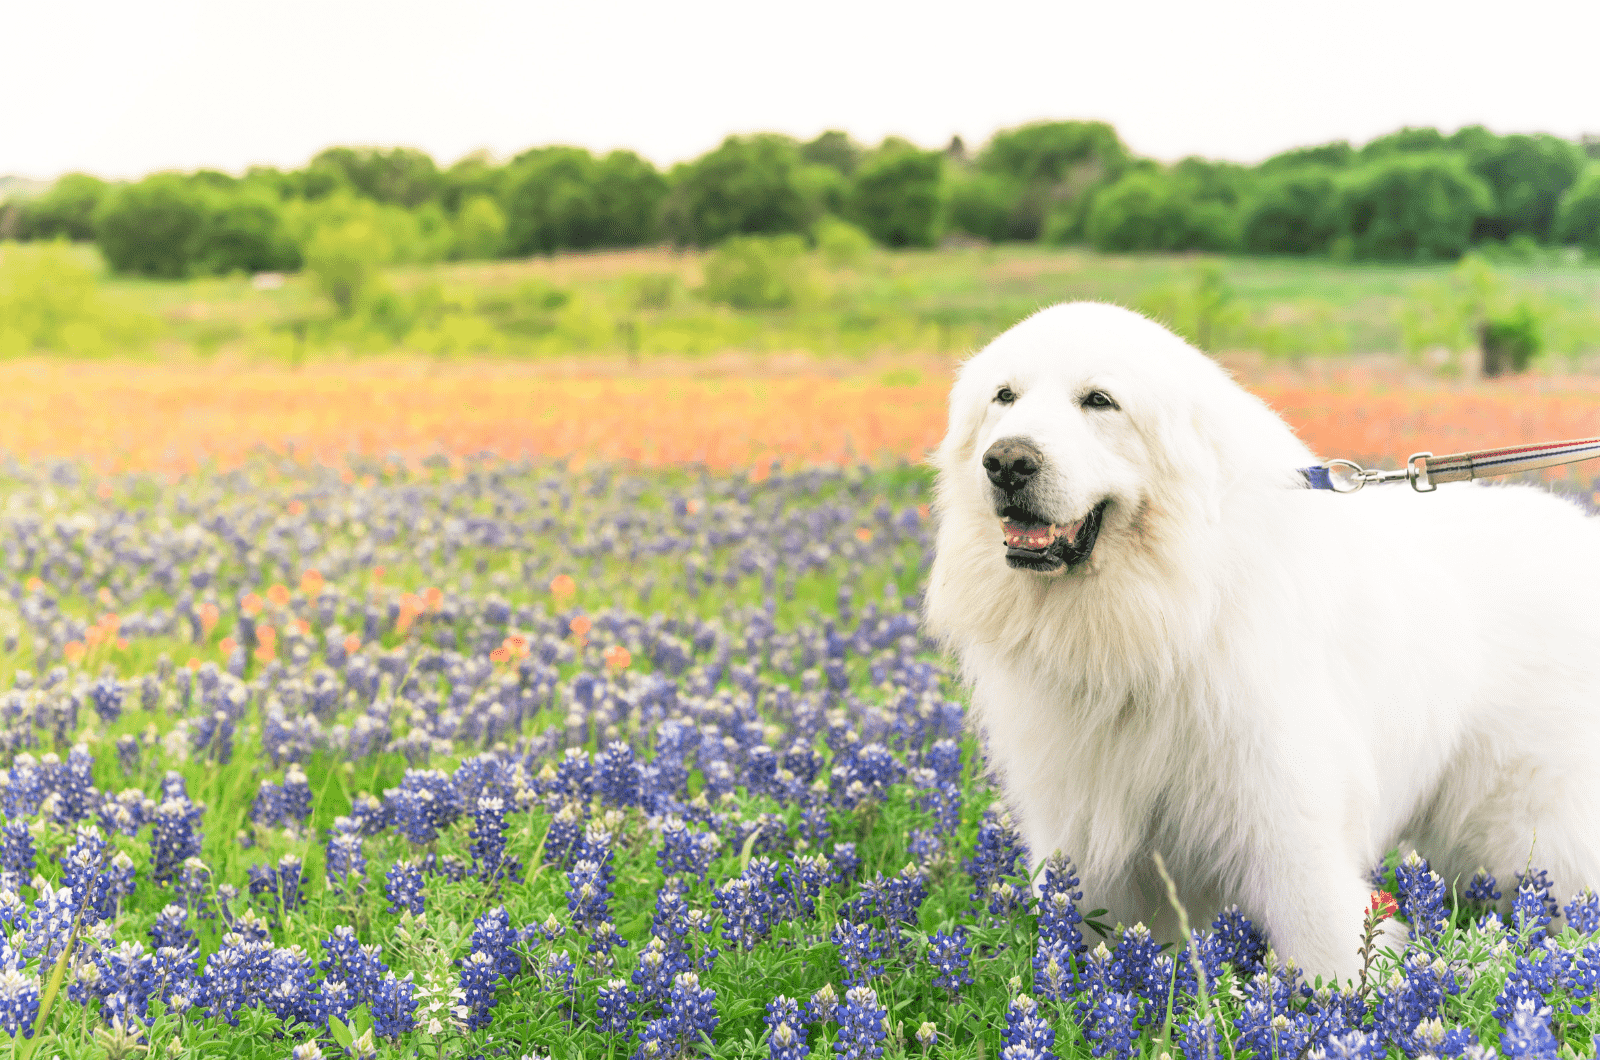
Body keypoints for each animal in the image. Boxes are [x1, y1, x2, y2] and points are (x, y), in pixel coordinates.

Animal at [921, 302, 1600, 986]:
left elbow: (1329, 946)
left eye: (1099, 400)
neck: (1158, 615)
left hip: (1537, 819)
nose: (1008, 461)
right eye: (1004, 396)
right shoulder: (1088, 830)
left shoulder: (1284, 817)